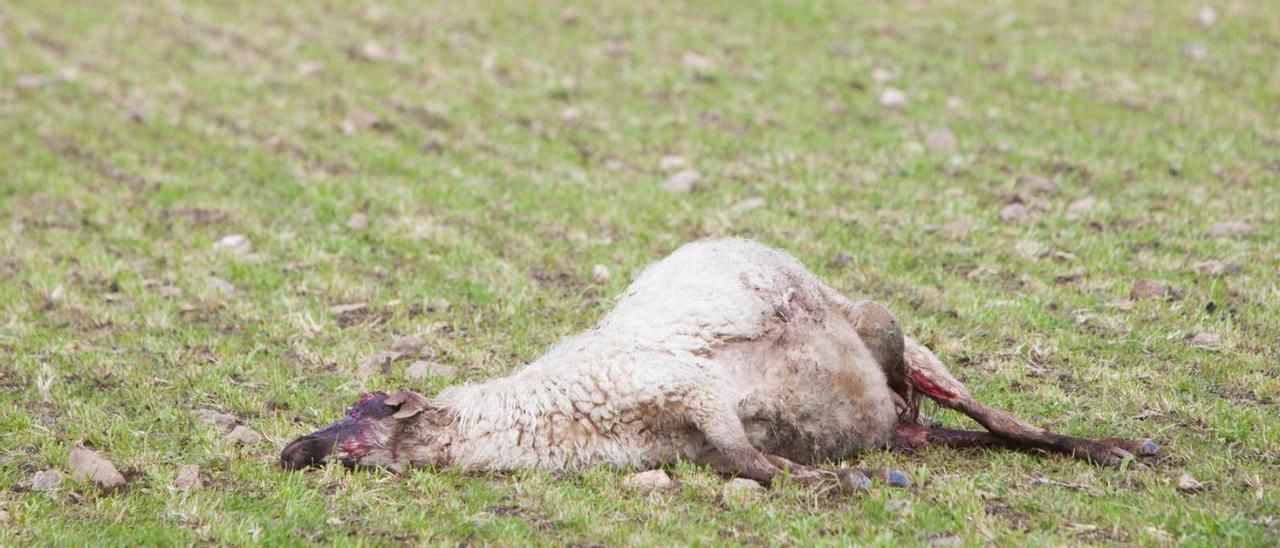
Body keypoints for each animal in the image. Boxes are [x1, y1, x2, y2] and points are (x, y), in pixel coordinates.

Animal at [282, 238, 1162, 486]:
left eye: (362, 427)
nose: (292, 451)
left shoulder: (692, 391)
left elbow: (751, 462)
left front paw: (829, 481)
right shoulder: (689, 435)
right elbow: (745, 464)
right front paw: (832, 476)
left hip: (890, 331)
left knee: (991, 414)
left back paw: (1112, 448)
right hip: (896, 404)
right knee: (942, 430)